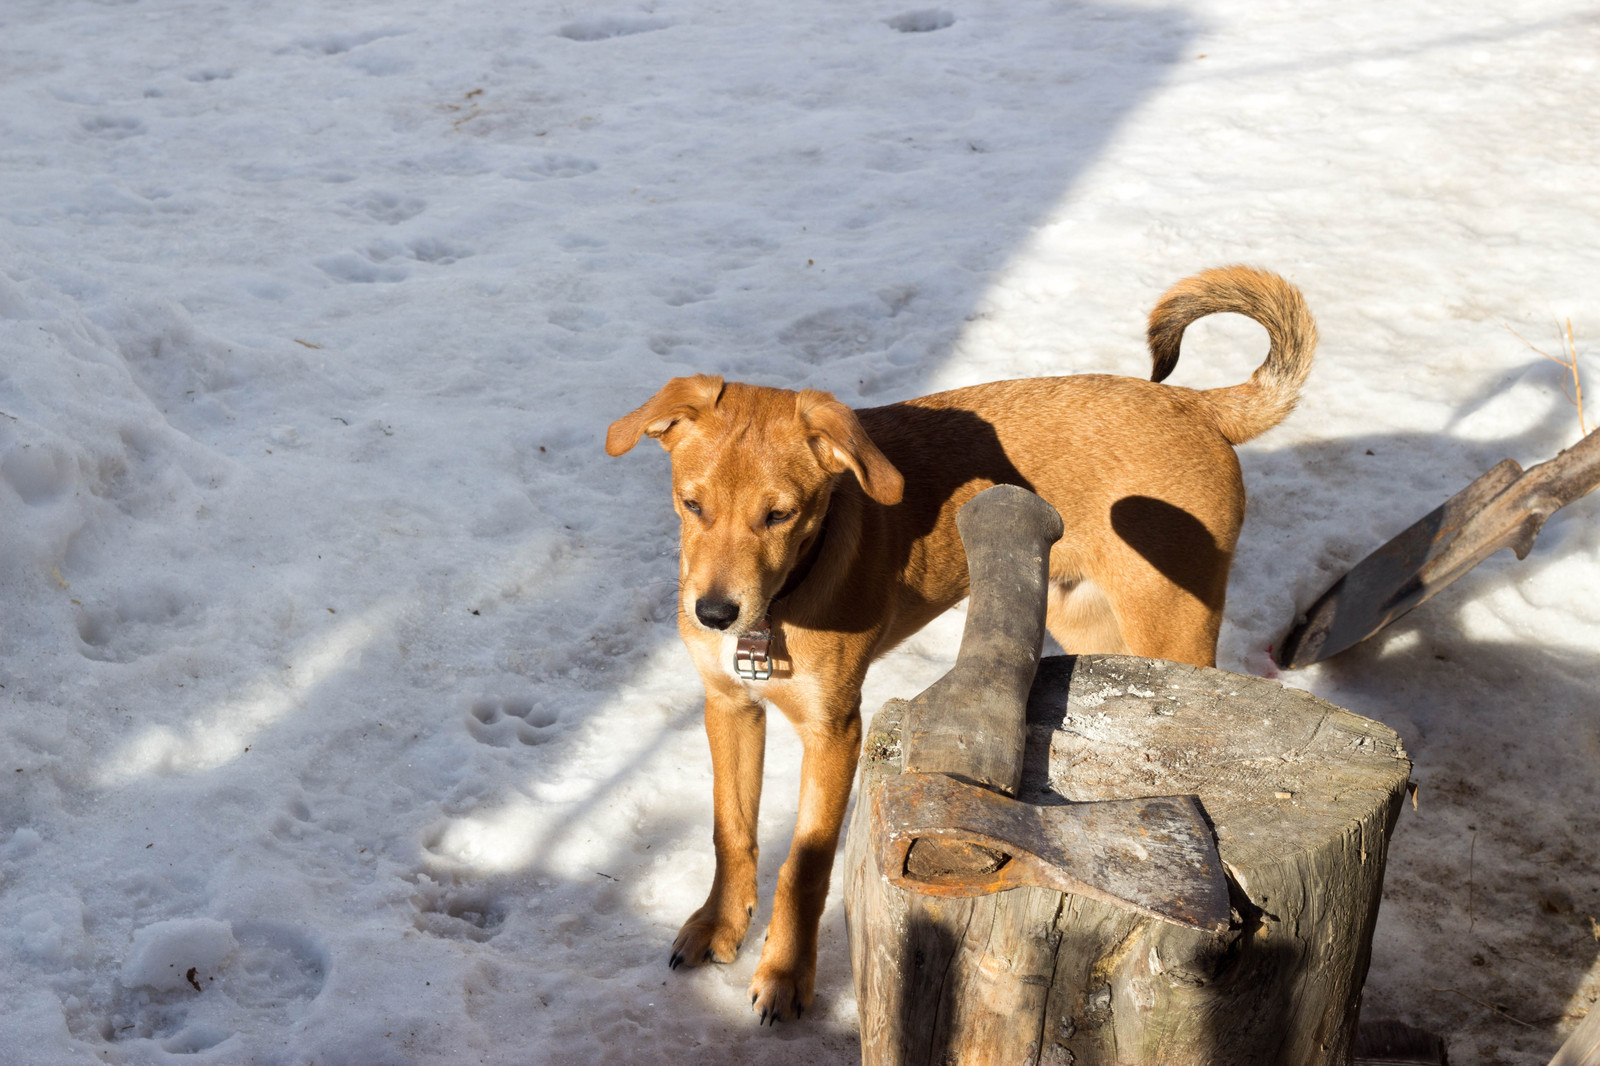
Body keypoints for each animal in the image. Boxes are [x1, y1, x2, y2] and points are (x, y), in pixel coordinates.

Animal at [604, 265, 1318, 1024]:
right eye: (691, 505)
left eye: (780, 515)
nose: (713, 613)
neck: (783, 602)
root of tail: (1193, 404)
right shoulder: (729, 705)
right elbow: (731, 831)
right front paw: (719, 926)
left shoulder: (835, 730)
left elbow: (805, 862)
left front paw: (786, 974)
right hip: (1088, 615)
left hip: (1172, 620)